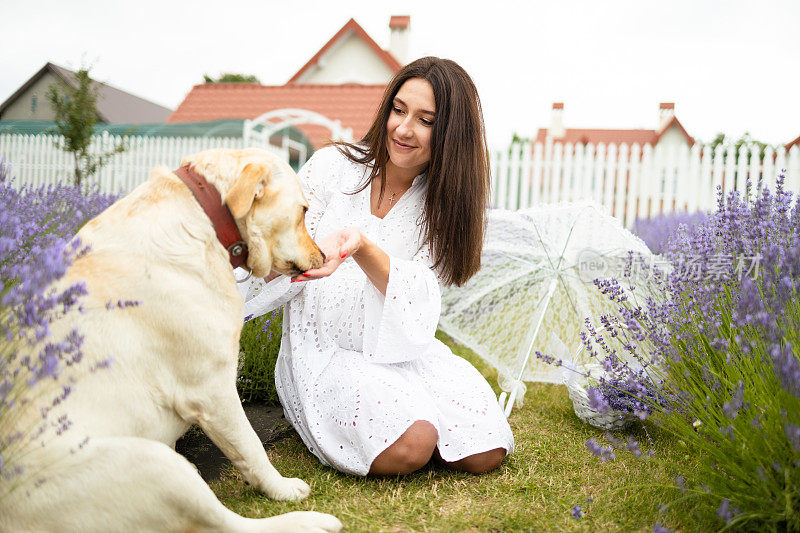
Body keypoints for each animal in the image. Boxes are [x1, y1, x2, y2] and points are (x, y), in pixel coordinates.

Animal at [5, 149, 344, 532]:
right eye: (303, 211)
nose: (323, 256)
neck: (205, 220)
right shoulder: (212, 389)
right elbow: (251, 448)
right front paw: (282, 488)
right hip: (156, 462)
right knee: (231, 524)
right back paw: (310, 520)